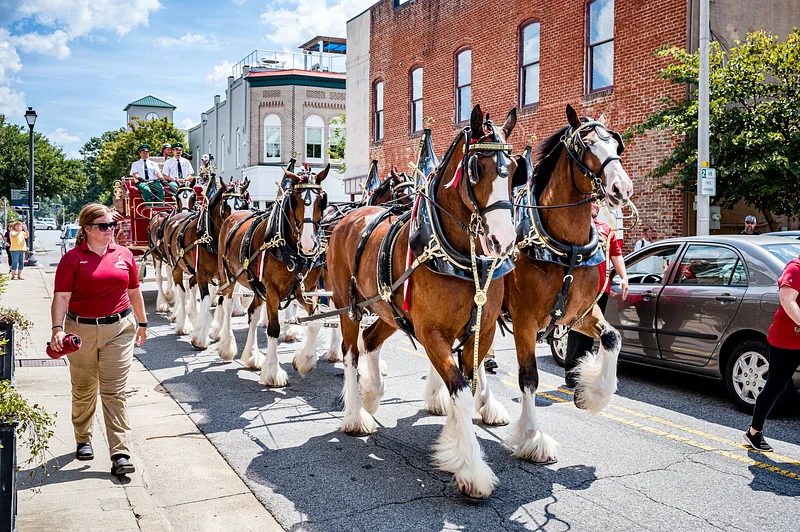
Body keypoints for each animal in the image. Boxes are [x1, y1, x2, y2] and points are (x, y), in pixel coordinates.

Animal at [214, 164, 330, 384]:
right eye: (295, 200)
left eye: (322, 200)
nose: (309, 244)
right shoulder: (273, 291)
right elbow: (274, 328)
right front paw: (272, 372)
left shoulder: (307, 290)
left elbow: (316, 321)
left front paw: (304, 360)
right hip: (229, 277)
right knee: (227, 305)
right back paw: (227, 346)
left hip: (257, 286)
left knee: (253, 313)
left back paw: (251, 355)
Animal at [326, 105, 520, 498]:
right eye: (476, 169)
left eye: (514, 168)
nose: (504, 239)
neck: (460, 258)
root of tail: (350, 216)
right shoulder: (432, 333)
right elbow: (459, 389)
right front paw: (473, 470)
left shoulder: (482, 330)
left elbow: (468, 383)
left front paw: (453, 442)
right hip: (348, 306)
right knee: (351, 352)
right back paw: (355, 414)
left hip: (388, 309)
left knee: (370, 342)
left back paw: (372, 395)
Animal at [504, 103, 636, 462]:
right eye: (586, 145)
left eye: (616, 145)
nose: (622, 188)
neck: (564, 247)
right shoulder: (524, 321)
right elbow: (529, 378)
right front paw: (533, 438)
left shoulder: (579, 313)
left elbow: (613, 338)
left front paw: (591, 394)